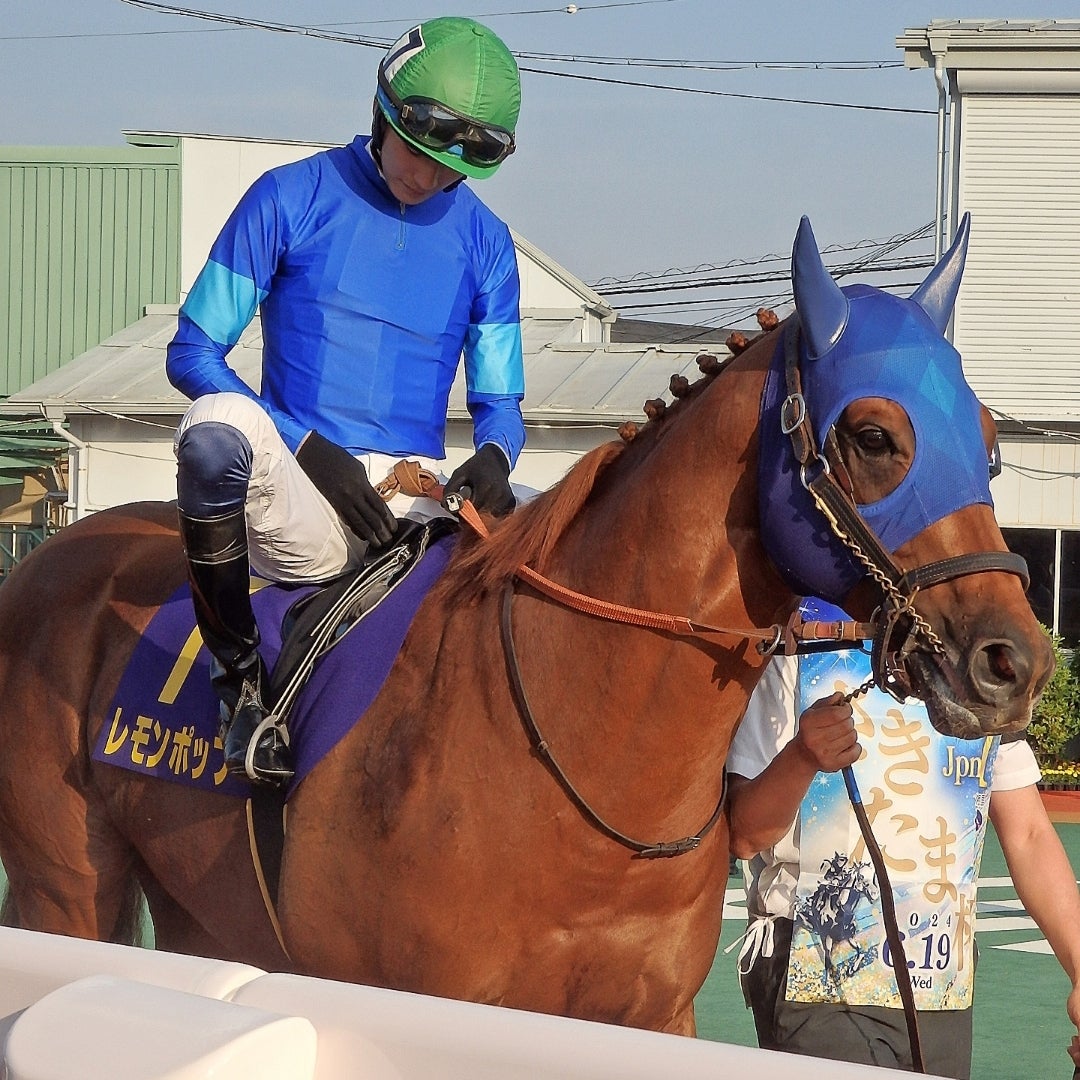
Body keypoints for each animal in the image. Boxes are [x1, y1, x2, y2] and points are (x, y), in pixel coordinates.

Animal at [0, 215, 1053, 1037]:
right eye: (875, 437)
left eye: (989, 444)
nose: (1013, 661)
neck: (576, 768)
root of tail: (48, 556)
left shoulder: (651, 1016)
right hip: (65, 894)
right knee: (218, 432)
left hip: (201, 912)